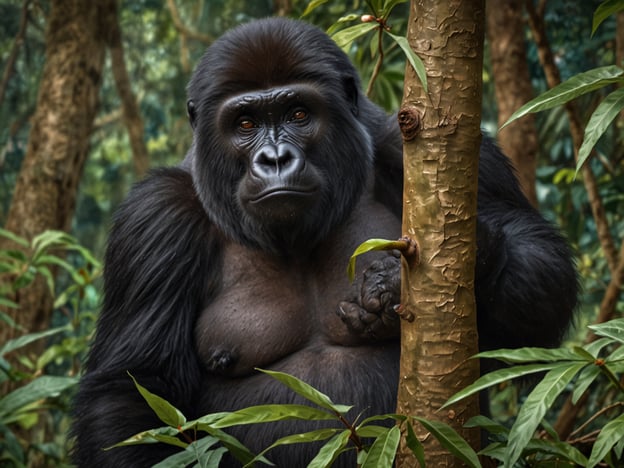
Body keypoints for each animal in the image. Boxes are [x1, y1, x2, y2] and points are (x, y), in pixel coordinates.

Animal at [70, 16, 576, 468]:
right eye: (245, 123)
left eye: (299, 114)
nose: (275, 159)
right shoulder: (154, 218)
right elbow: (132, 392)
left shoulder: (442, 148)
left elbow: (539, 269)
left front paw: (397, 281)